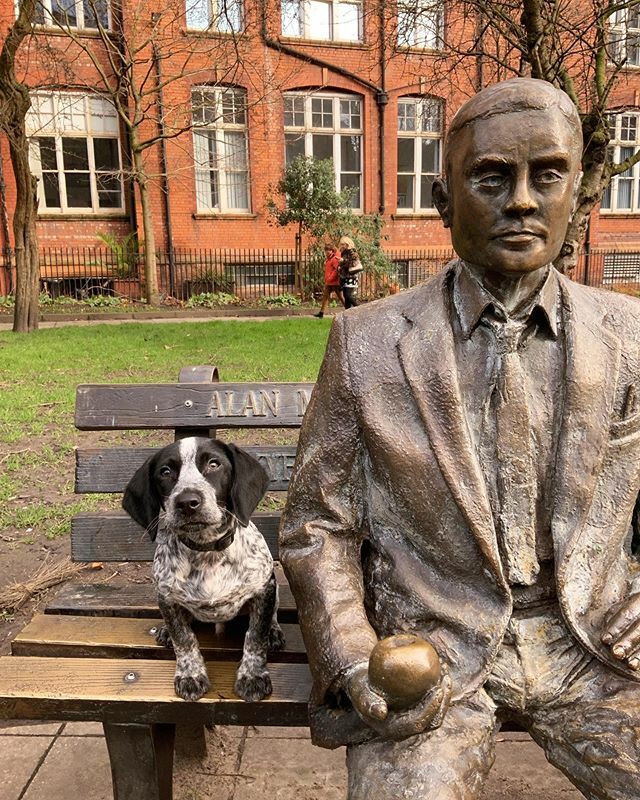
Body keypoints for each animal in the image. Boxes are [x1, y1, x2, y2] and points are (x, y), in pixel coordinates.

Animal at [122, 434, 284, 704]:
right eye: (165, 472)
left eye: (214, 464)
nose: (187, 503)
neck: (207, 551)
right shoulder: (167, 597)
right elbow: (184, 640)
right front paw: (190, 674)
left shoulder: (263, 589)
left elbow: (255, 637)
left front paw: (252, 675)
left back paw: (274, 630)